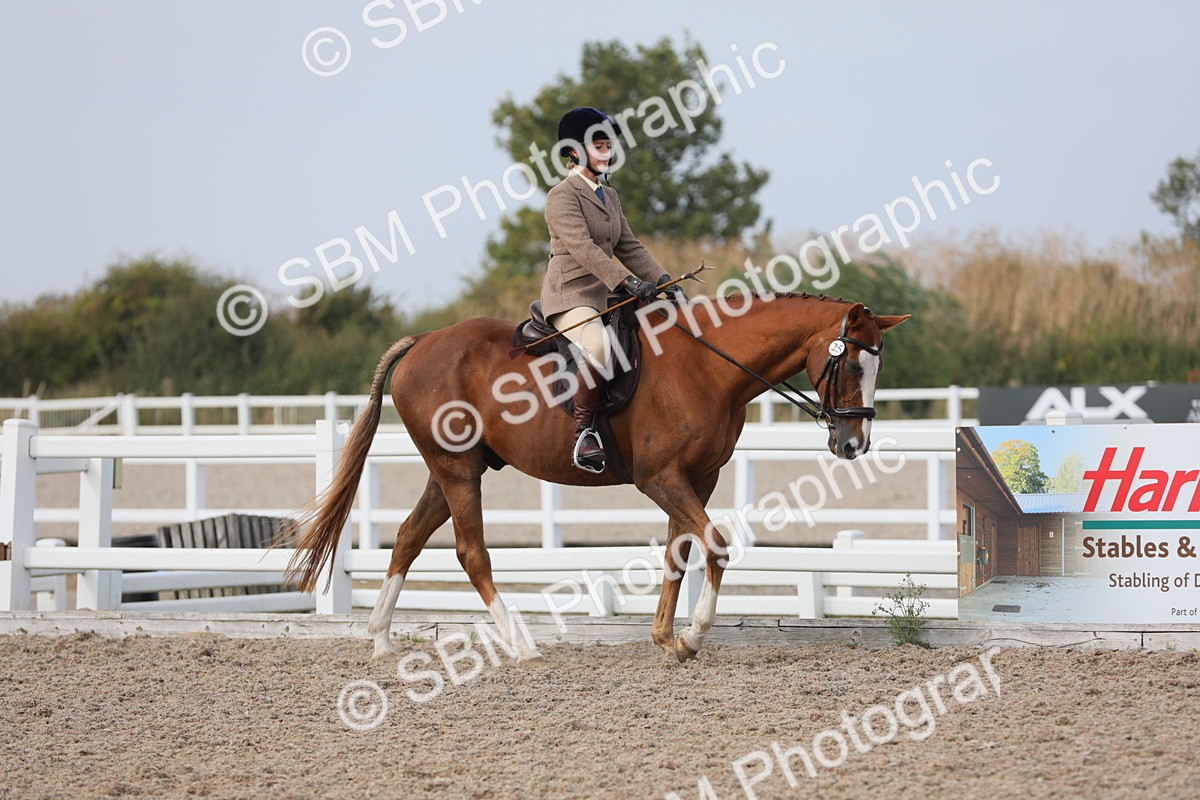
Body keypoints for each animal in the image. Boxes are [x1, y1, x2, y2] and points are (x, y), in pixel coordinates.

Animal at [284, 292, 909, 662]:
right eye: (852, 363)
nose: (854, 444)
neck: (708, 366)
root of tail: (424, 343)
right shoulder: (661, 478)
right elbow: (715, 544)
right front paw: (693, 635)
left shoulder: (697, 479)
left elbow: (679, 551)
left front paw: (664, 637)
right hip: (458, 471)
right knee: (470, 552)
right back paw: (521, 644)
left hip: (451, 470)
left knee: (410, 538)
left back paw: (381, 641)